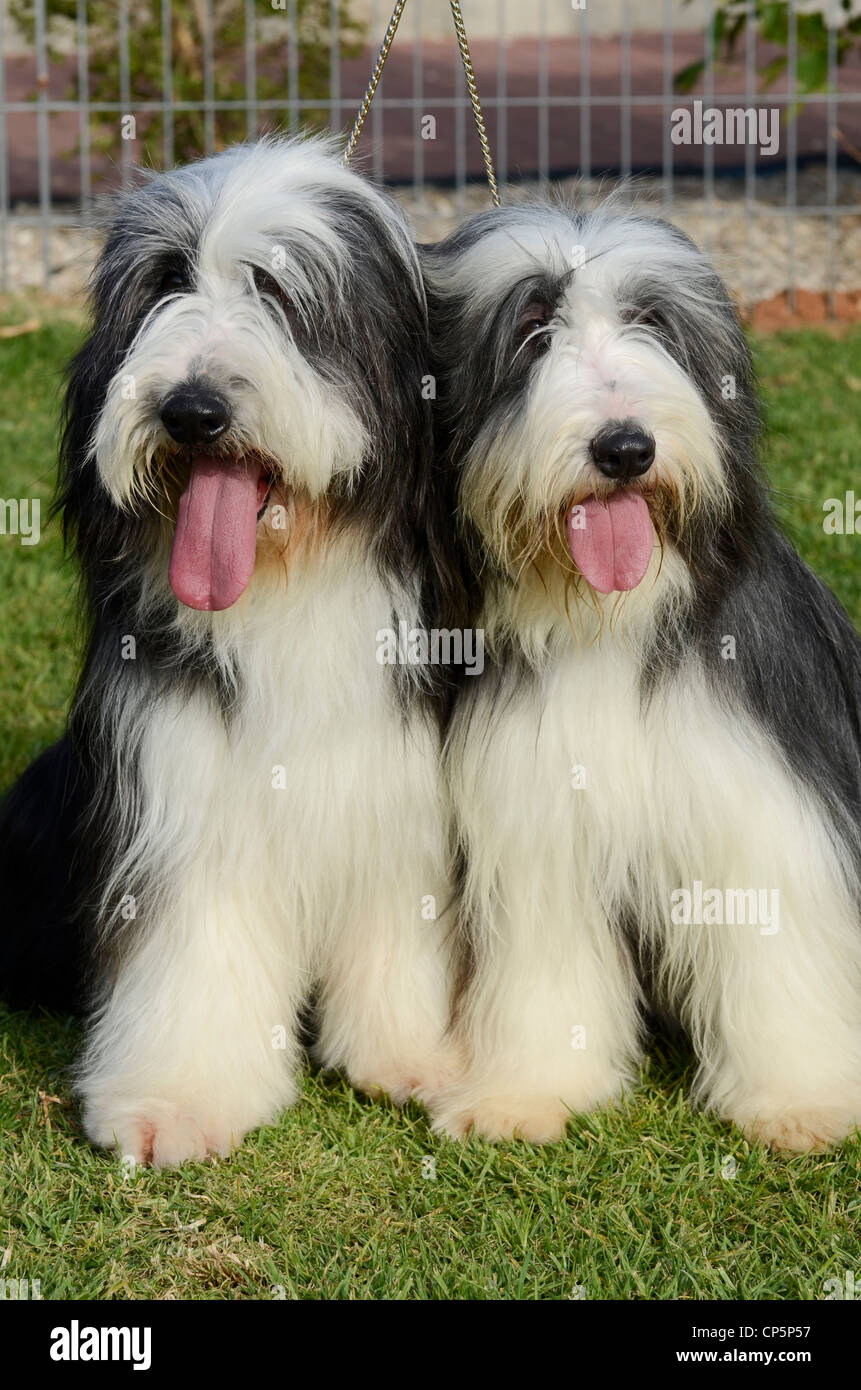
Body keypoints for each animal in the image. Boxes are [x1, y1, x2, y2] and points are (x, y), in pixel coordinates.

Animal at [0, 138, 461, 1162]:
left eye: (280, 293)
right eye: (165, 284)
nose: (191, 410)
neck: (285, 588)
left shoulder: (400, 785)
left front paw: (416, 1056)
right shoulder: (178, 778)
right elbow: (192, 940)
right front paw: (175, 1097)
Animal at [422, 202, 861, 1150]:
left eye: (651, 322)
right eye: (530, 328)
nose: (623, 448)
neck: (610, 623)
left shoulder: (759, 808)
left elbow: (780, 955)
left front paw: (802, 1098)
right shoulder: (538, 824)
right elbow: (544, 966)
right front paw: (525, 1092)